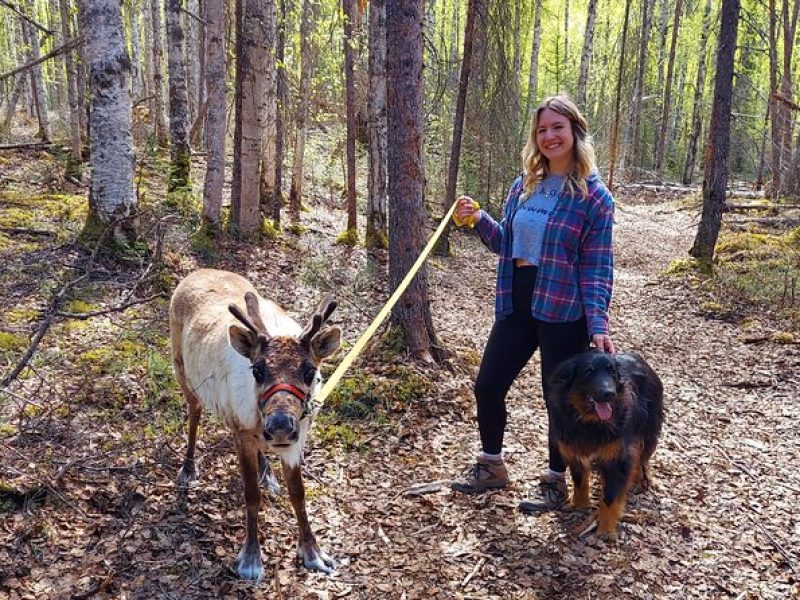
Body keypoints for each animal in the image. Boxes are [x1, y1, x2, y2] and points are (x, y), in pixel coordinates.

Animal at [548, 350, 664, 536]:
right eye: (589, 371)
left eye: (612, 371)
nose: (610, 393)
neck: (589, 421)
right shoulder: (573, 450)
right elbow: (579, 481)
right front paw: (579, 505)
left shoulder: (616, 458)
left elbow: (610, 497)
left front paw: (605, 529)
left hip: (647, 429)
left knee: (642, 457)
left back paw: (640, 478)